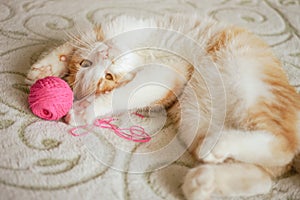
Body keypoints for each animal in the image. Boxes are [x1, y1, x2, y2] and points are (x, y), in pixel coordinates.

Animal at [26, 16, 300, 200]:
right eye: (90, 66)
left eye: (108, 75)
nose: (107, 55)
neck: (141, 53)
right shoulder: (170, 77)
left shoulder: (165, 69)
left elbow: (69, 45)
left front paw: (44, 69)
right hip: (196, 117)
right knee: (267, 172)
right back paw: (203, 179)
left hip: (243, 78)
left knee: (282, 147)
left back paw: (214, 155)